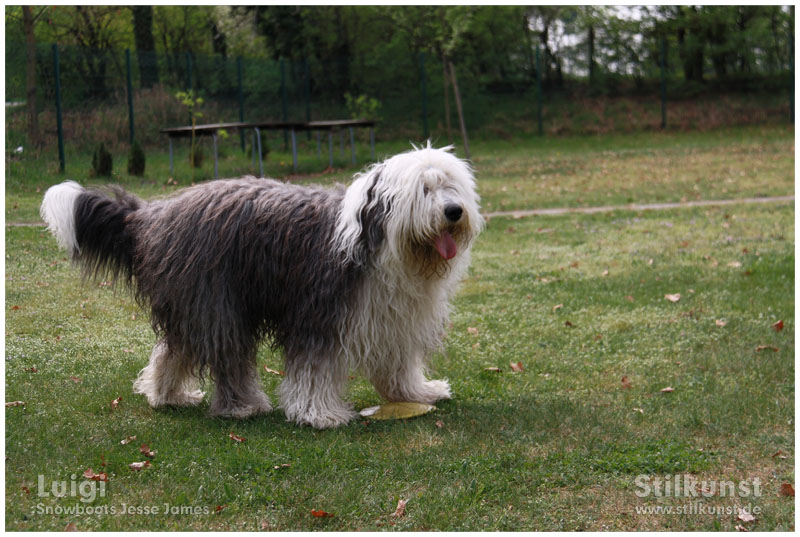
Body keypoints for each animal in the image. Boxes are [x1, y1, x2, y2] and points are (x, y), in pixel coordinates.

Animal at [40, 144, 482, 430]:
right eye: (424, 189)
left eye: (452, 187)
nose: (453, 211)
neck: (381, 242)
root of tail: (153, 213)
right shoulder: (317, 313)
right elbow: (313, 370)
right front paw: (319, 414)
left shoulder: (394, 317)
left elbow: (398, 363)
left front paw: (417, 393)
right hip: (215, 301)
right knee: (226, 355)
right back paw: (243, 407)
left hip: (192, 303)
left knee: (173, 349)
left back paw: (166, 395)